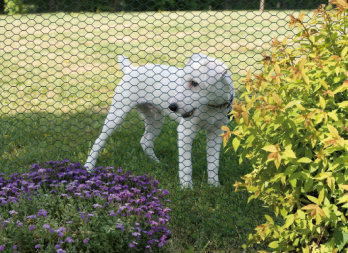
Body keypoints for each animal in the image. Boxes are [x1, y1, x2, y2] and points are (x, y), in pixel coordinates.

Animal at [85, 53, 234, 188]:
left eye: (194, 83)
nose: (172, 107)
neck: (212, 107)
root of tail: (130, 69)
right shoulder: (185, 131)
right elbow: (186, 165)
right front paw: (187, 187)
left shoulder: (216, 132)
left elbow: (213, 163)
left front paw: (214, 185)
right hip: (117, 114)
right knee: (98, 141)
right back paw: (88, 167)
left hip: (155, 120)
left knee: (145, 141)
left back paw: (158, 163)